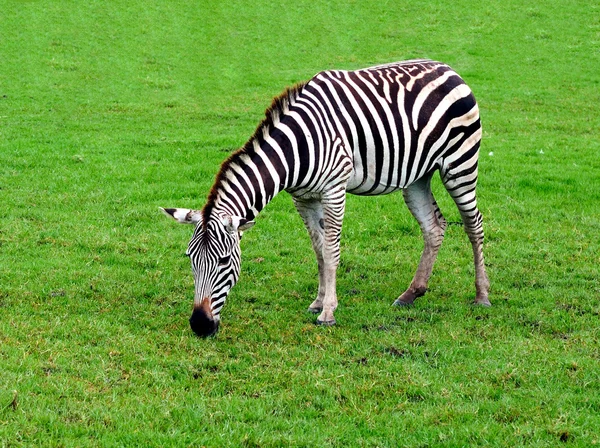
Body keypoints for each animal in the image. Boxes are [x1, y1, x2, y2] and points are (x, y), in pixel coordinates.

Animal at [162, 61, 490, 338]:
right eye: (190, 259)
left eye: (224, 261)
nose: (199, 325)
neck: (295, 149)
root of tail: (447, 68)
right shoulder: (303, 199)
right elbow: (318, 251)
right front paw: (318, 302)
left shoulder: (334, 190)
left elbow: (331, 252)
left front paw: (328, 313)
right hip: (417, 176)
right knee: (434, 226)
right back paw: (412, 293)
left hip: (460, 163)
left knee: (474, 224)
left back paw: (482, 295)